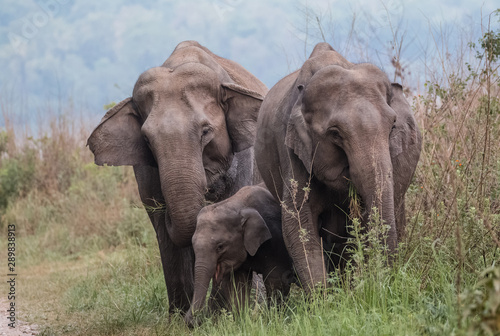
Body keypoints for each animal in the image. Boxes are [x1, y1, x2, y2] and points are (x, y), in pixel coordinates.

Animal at [87, 40, 266, 314]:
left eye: (206, 131)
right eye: (147, 140)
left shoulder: (244, 162)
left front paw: (222, 314)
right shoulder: (147, 174)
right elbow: (166, 235)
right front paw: (182, 316)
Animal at [185, 184, 292, 326]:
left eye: (220, 246)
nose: (196, 320)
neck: (238, 204)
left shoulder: (276, 239)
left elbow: (276, 279)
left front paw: (274, 320)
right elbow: (238, 283)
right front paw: (240, 322)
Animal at [254, 41, 422, 288]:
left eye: (392, 126)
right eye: (335, 134)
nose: (386, 284)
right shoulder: (292, 150)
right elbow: (299, 223)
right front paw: (323, 297)